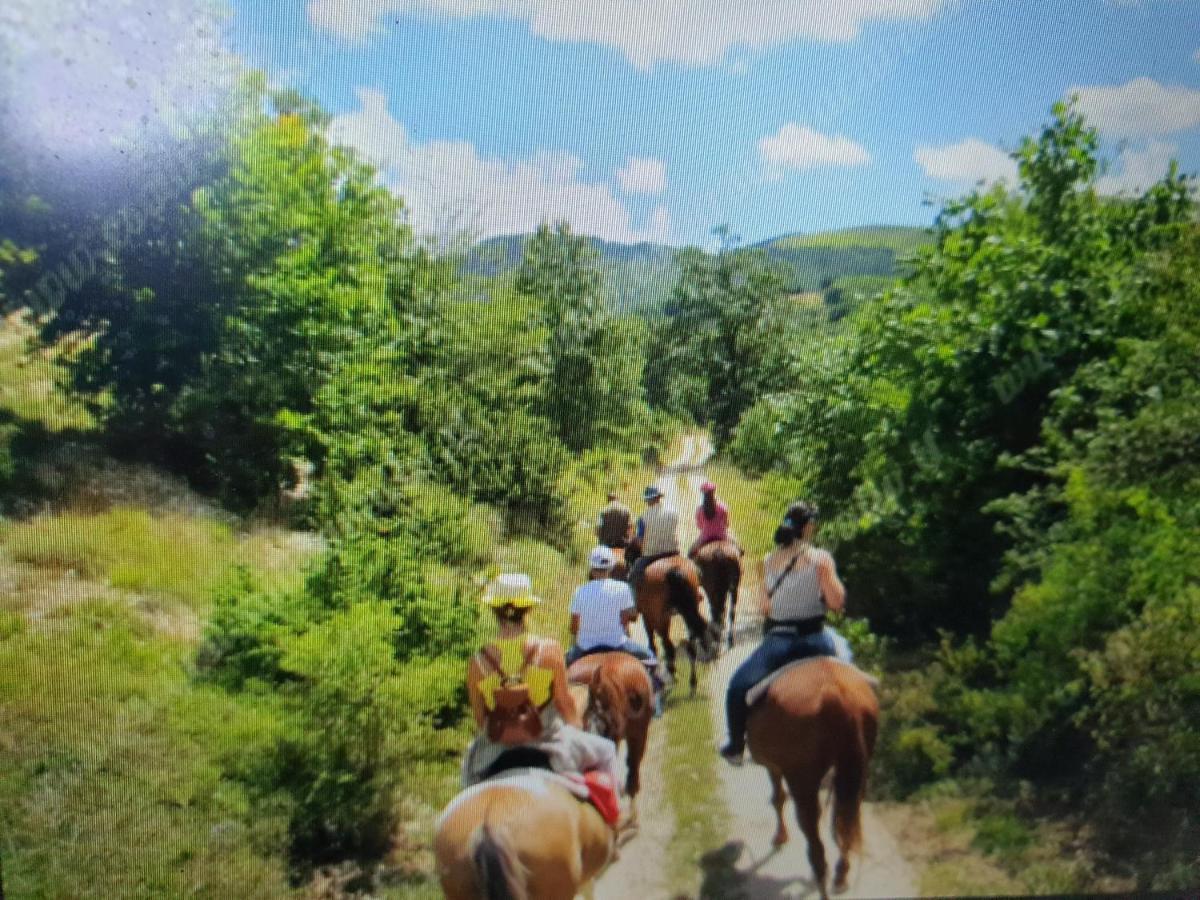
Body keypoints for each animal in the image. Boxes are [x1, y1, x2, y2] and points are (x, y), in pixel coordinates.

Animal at [624, 540, 715, 696]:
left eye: (628, 554)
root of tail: (674, 571)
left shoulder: (649, 617)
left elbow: (654, 644)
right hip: (689, 610)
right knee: (692, 643)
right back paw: (693, 681)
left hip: (661, 616)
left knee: (669, 644)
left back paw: (674, 675)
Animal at [744, 657, 878, 900]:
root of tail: (835, 694)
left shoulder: (773, 767)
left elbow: (778, 798)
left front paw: (780, 837)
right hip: (857, 770)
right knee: (847, 818)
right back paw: (841, 874)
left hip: (803, 783)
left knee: (817, 851)